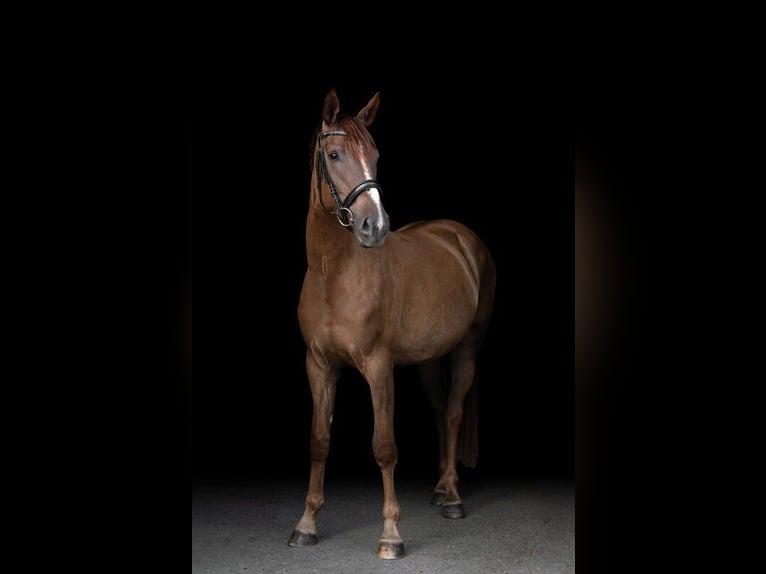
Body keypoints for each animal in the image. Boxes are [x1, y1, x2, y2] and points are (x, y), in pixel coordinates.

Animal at [288, 89, 496, 559]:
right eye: (334, 154)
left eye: (376, 156)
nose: (376, 226)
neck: (334, 275)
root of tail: (461, 237)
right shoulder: (318, 365)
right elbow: (318, 440)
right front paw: (306, 524)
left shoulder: (378, 366)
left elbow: (384, 447)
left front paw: (391, 535)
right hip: (428, 359)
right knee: (439, 411)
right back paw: (439, 488)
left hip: (467, 349)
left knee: (453, 413)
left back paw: (452, 497)